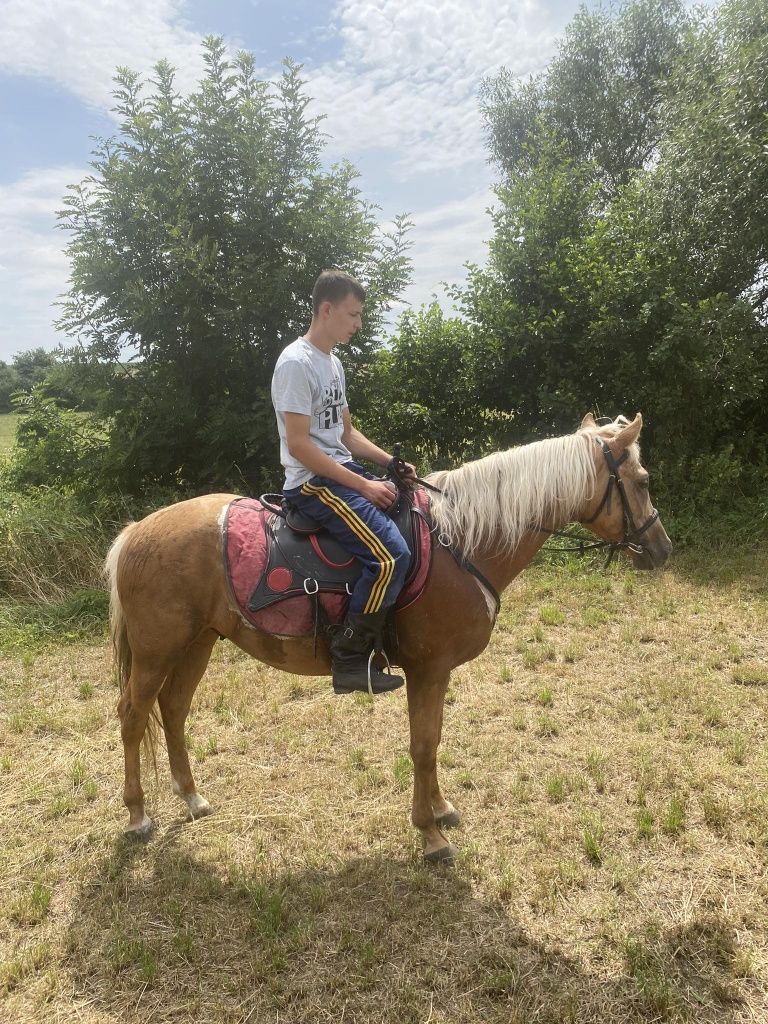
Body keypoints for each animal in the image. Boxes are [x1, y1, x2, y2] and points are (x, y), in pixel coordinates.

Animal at [108, 411, 671, 860]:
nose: (662, 550)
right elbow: (422, 745)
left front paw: (440, 809)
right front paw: (431, 836)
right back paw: (138, 816)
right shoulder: (428, 668)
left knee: (173, 710)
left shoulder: (435, 672)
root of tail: (135, 533)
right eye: (642, 481)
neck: (459, 542)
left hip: (197, 642)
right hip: (158, 650)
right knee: (133, 716)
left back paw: (191, 797)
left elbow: (434, 741)